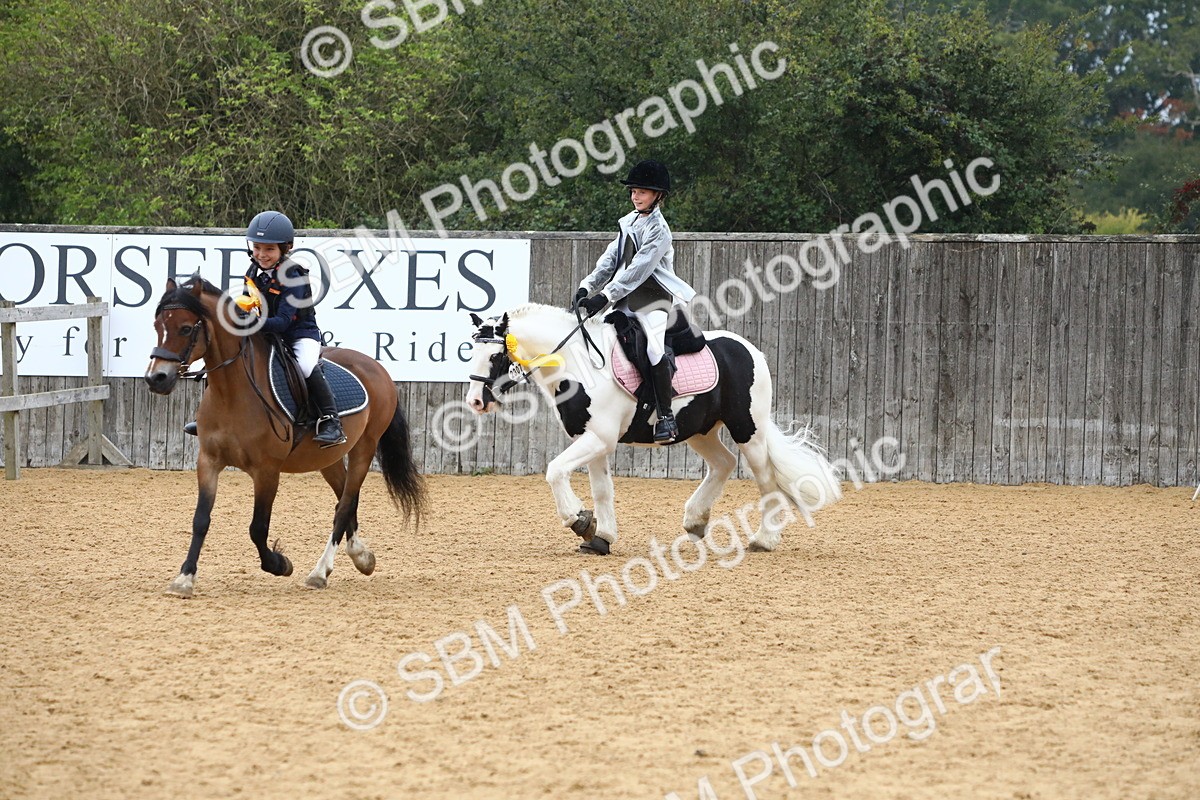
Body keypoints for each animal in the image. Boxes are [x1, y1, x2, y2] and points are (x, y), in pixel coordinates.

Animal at [144, 277, 426, 597]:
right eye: (157, 325)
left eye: (185, 328)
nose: (156, 379)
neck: (232, 392)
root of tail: (377, 367)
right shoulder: (208, 461)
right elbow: (200, 520)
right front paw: (184, 578)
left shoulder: (266, 471)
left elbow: (257, 528)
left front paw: (279, 564)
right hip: (328, 458)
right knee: (345, 500)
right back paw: (361, 556)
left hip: (363, 450)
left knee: (344, 506)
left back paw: (319, 572)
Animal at [464, 303, 842, 554]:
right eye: (469, 352)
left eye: (496, 357)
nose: (476, 402)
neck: (577, 364)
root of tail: (750, 350)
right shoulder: (593, 439)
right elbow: (602, 490)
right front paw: (600, 537)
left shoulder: (598, 438)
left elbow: (555, 470)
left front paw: (578, 520)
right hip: (700, 431)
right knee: (724, 464)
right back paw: (695, 521)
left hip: (748, 428)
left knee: (765, 479)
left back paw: (764, 539)